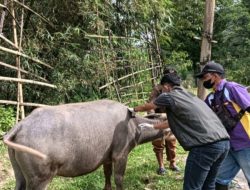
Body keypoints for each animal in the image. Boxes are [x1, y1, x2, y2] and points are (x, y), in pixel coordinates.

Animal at [3, 100, 174, 189]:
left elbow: (107, 175)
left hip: (20, 176)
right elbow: (118, 178)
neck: (133, 124)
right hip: (39, 179)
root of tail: (21, 125)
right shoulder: (120, 156)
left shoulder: (107, 158)